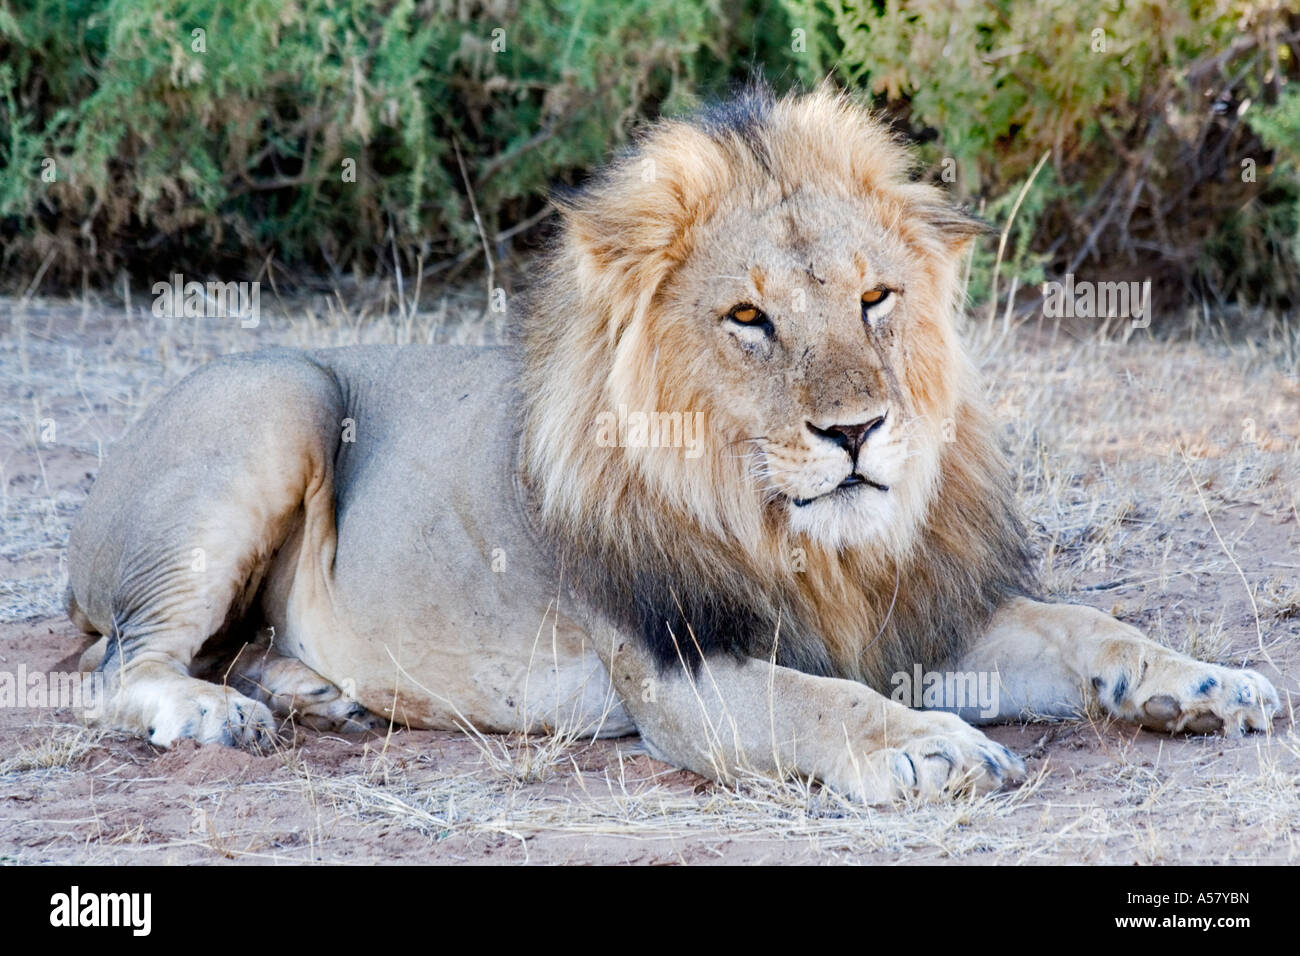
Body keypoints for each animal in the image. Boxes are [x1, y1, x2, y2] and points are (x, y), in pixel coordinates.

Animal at [65, 86, 1278, 803]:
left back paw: (317, 693)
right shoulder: (677, 668)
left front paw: (1202, 682)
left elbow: (1087, 626)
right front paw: (927, 745)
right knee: (124, 664)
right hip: (278, 399)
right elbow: (818, 702)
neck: (803, 542)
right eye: (750, 318)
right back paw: (219, 711)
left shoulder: (916, 616)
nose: (856, 431)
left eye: (876, 298)